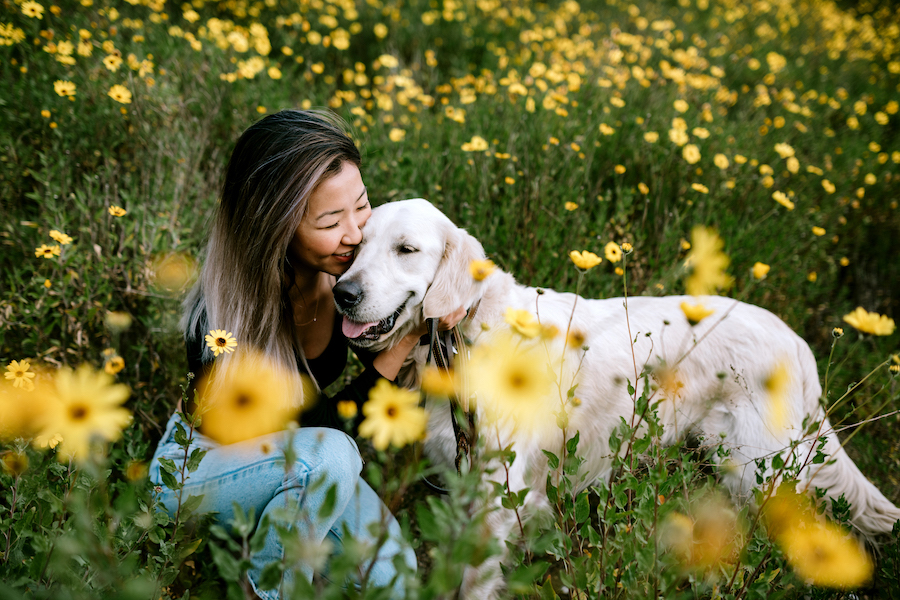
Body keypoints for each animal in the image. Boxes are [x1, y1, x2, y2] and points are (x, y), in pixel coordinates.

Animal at [336, 198, 900, 596]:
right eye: (356, 247)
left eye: (406, 250)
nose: (342, 292)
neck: (468, 336)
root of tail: (797, 341)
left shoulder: (499, 496)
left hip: (759, 472)